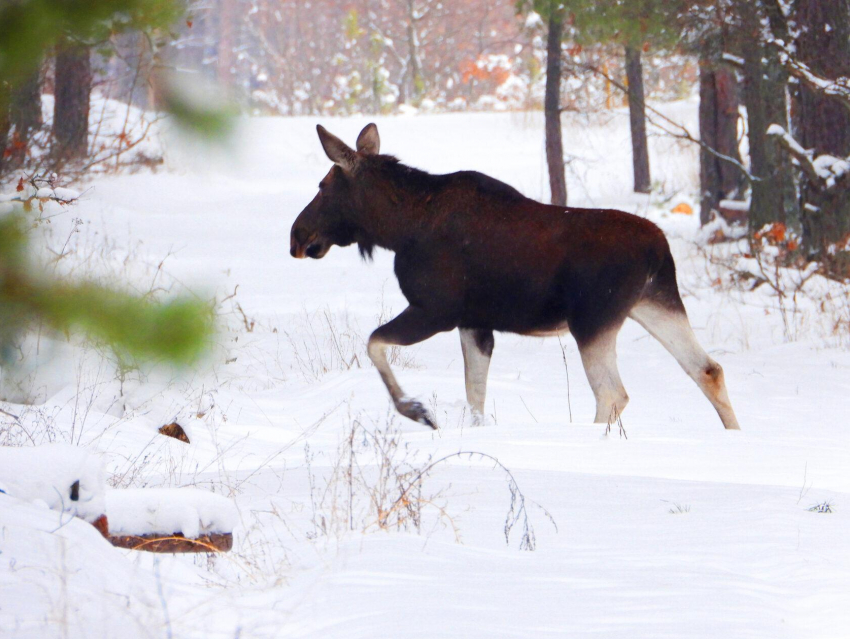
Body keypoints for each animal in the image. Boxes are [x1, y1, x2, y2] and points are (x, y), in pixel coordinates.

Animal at [290, 124, 736, 430]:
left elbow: (374, 343)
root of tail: (658, 250)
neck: (397, 228)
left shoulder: (436, 310)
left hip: (593, 320)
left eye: (323, 185)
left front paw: (418, 411)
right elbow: (475, 395)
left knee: (613, 393)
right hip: (655, 303)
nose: (297, 235)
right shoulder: (474, 322)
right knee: (707, 368)